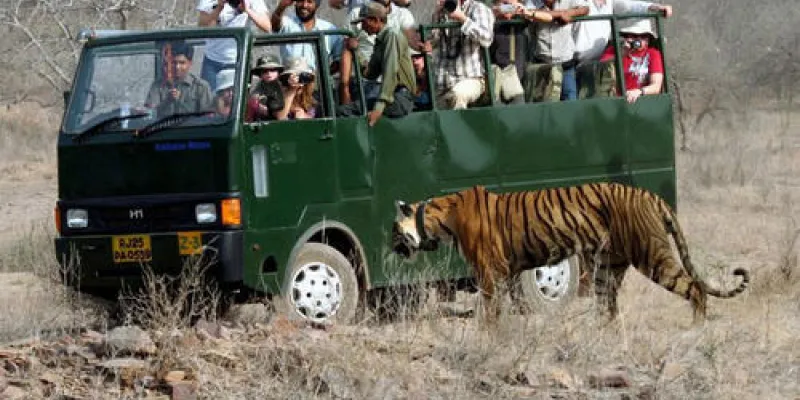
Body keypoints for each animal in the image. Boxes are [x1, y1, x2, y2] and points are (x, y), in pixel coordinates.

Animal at [391, 182, 749, 323]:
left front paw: (489, 334)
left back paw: (696, 328)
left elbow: (490, 310)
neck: (437, 218)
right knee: (608, 308)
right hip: (609, 267)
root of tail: (650, 195)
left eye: (393, 231)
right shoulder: (505, 272)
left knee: (695, 287)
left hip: (652, 255)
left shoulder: (488, 272)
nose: (389, 248)